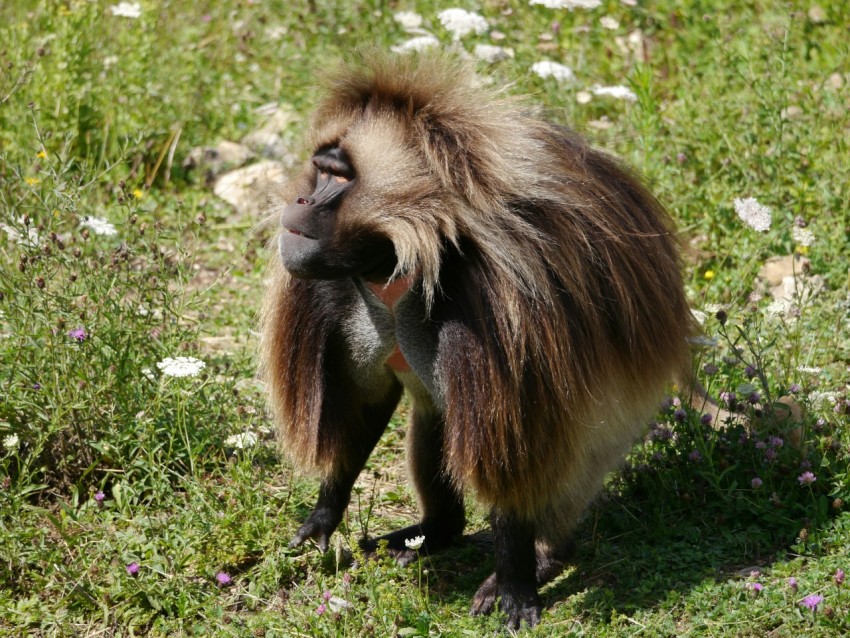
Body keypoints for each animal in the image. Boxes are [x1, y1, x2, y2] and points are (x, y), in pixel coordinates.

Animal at [260, 52, 694, 628]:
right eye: (321, 168)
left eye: (338, 177)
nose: (301, 198)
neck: (407, 260)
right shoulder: (347, 295)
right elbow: (369, 402)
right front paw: (322, 519)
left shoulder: (494, 305)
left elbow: (510, 445)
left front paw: (514, 586)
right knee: (437, 423)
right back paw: (433, 534)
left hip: (615, 419)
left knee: (554, 464)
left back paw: (546, 558)